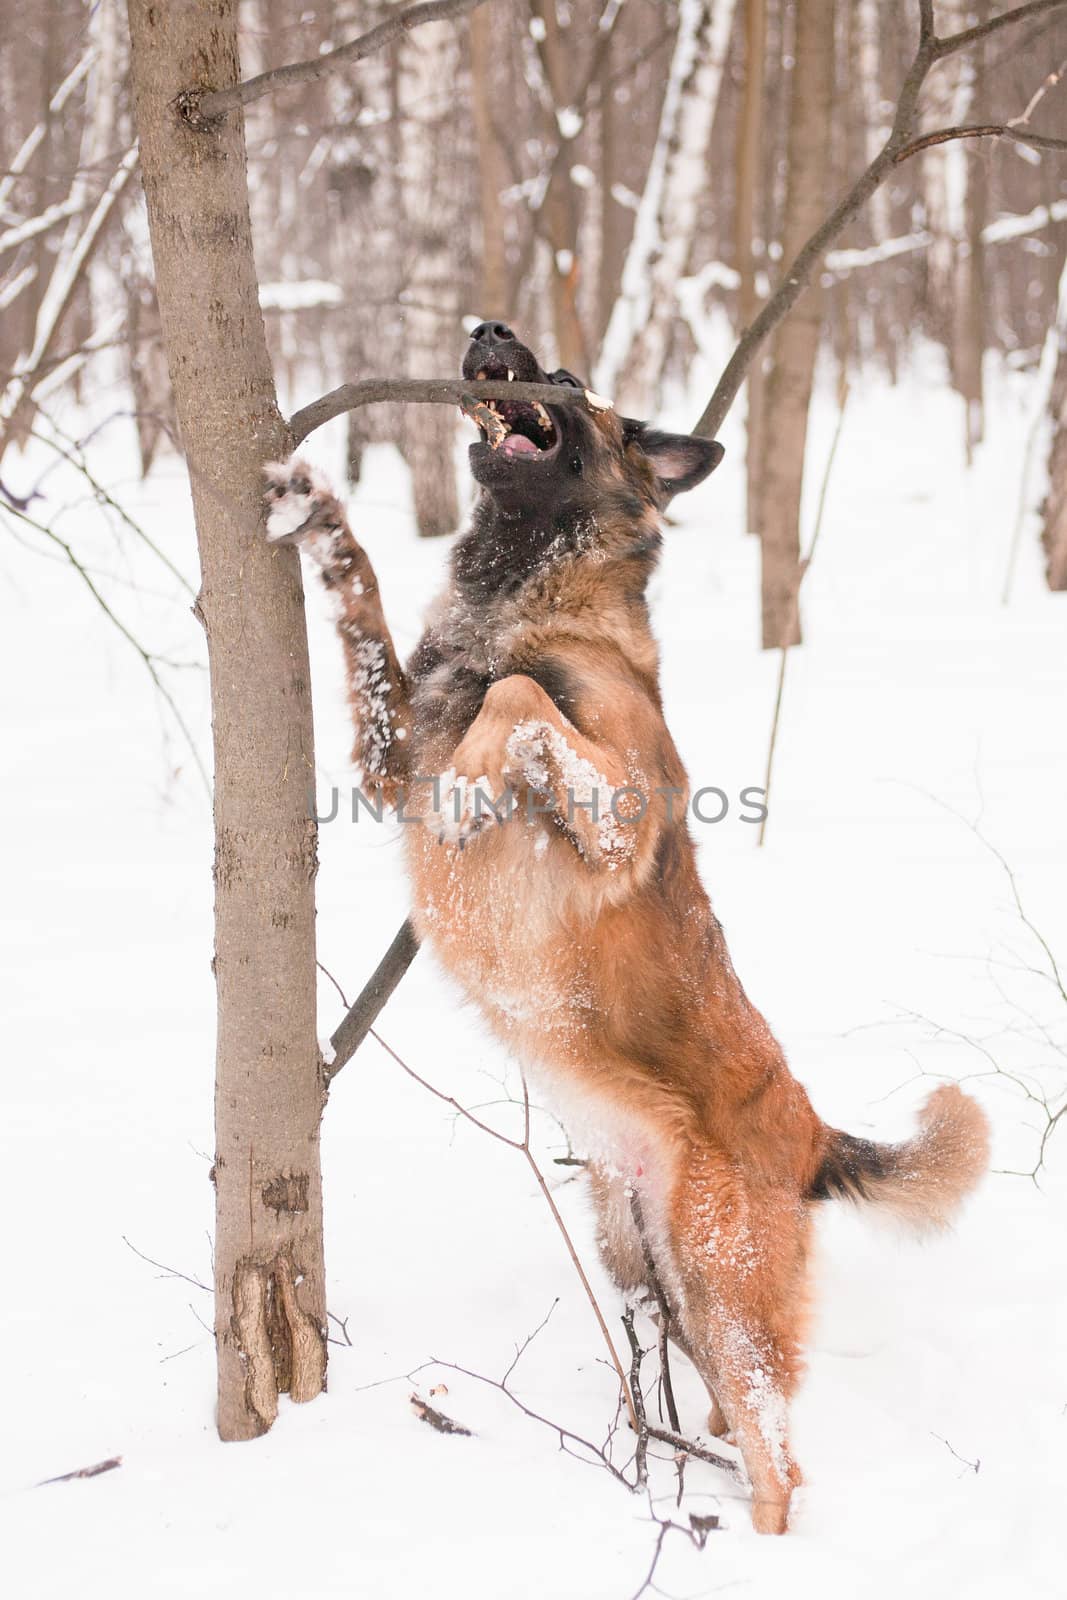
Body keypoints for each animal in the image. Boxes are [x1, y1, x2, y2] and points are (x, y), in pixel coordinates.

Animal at [267, 318, 991, 1529]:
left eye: (568, 382)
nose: (488, 329)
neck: (527, 594)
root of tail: (809, 1134)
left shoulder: (613, 810)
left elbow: (515, 704)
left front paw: (469, 793)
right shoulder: (387, 758)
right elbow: (369, 613)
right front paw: (320, 518)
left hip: (724, 1294)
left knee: (782, 1465)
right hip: (651, 1275)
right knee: (730, 1424)